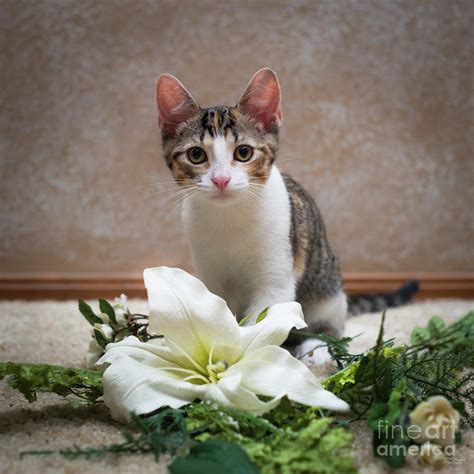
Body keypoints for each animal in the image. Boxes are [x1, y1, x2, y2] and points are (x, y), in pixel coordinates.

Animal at [155, 69, 414, 356]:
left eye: (243, 152)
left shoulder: (276, 278)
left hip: (326, 291)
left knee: (328, 328)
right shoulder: (209, 275)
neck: (229, 218)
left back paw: (315, 348)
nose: (221, 180)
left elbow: (261, 323)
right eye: (196, 155)